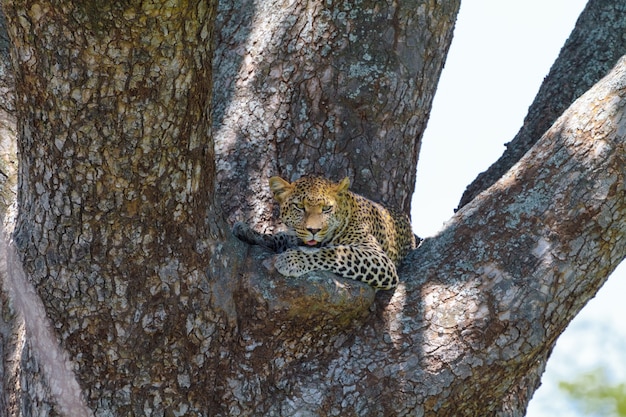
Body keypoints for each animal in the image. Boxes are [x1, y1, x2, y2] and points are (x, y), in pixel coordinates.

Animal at [232, 175, 416, 290]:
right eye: (299, 207)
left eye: (326, 208)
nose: (314, 230)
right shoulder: (295, 236)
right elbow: (279, 237)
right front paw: (248, 231)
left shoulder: (379, 258)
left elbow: (335, 252)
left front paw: (292, 260)